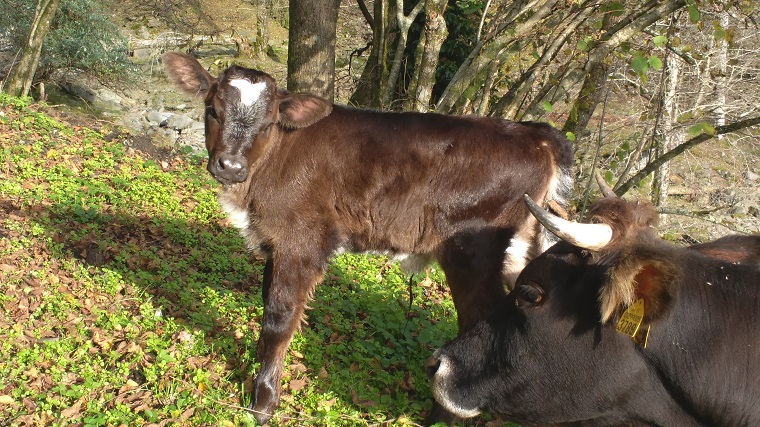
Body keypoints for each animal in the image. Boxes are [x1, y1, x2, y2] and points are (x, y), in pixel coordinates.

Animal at [162, 52, 574, 424]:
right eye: (212, 110)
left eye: (267, 124)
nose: (229, 166)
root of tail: (536, 133)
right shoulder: (275, 242)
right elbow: (267, 305)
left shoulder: (302, 241)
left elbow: (279, 319)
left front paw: (262, 403)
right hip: (524, 248)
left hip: (472, 252)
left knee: (478, 319)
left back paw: (440, 417)